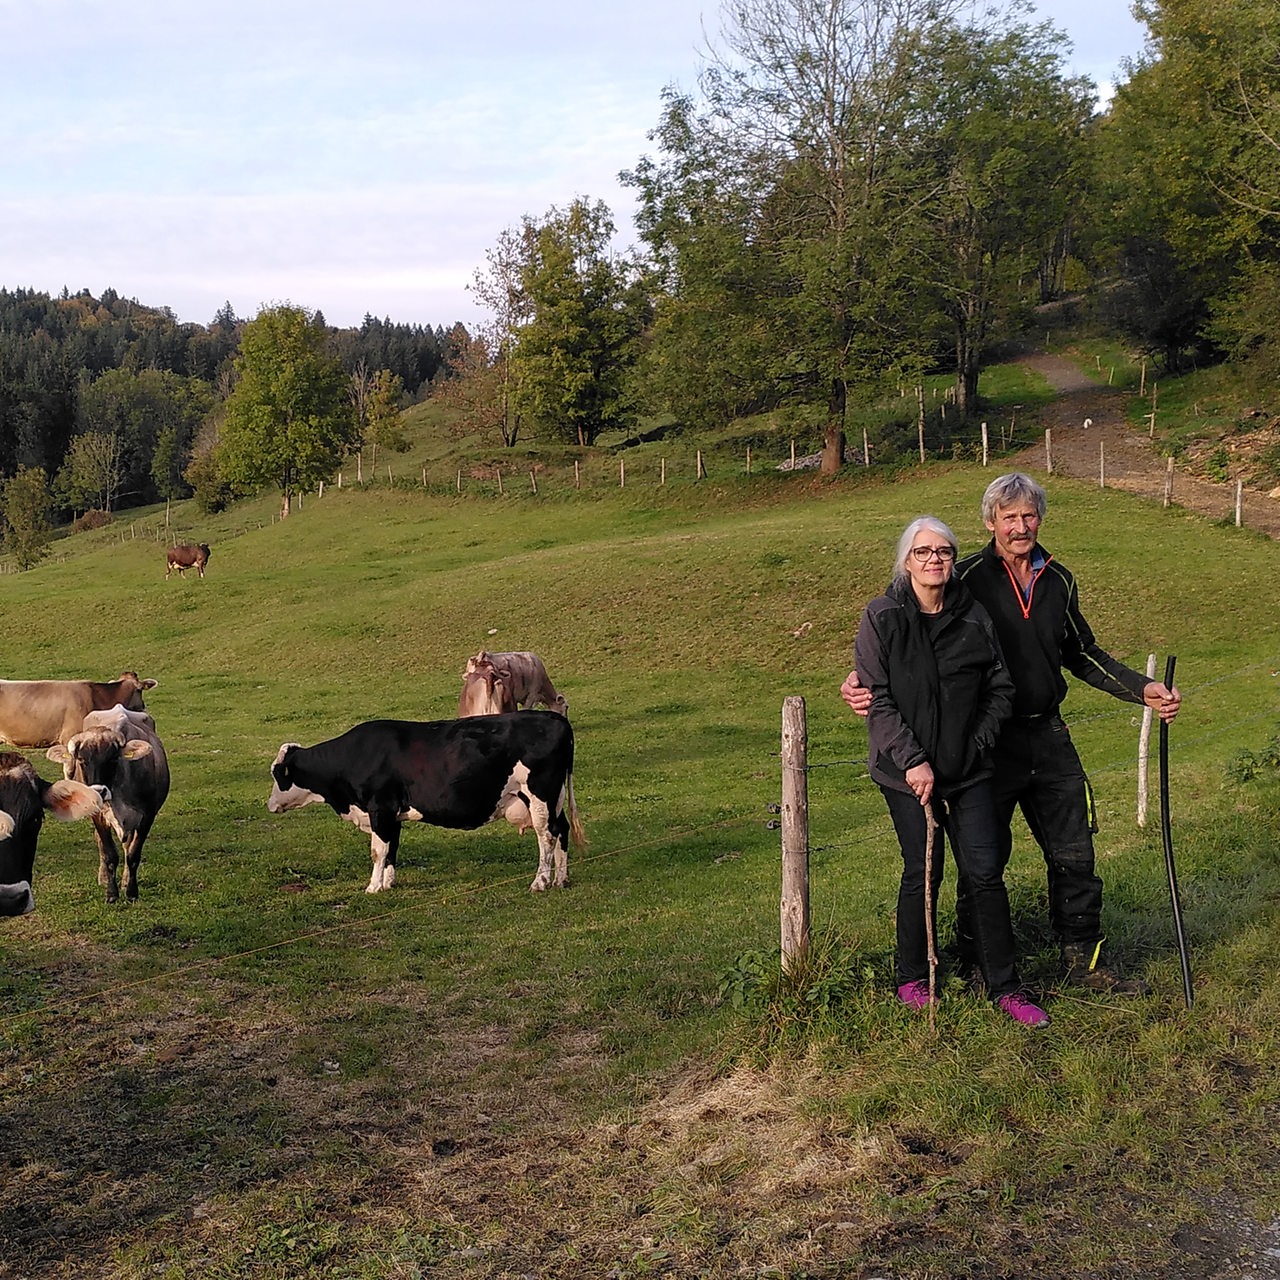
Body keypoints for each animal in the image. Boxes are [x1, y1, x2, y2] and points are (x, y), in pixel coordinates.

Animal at [275, 716, 588, 896]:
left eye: (277, 774)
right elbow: (392, 848)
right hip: (552, 799)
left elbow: (378, 851)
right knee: (561, 829)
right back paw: (561, 879)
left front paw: (373, 887)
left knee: (546, 836)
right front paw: (388, 883)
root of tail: (553, 716)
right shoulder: (391, 814)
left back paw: (540, 882)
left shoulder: (379, 809)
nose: (270, 804)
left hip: (540, 795)